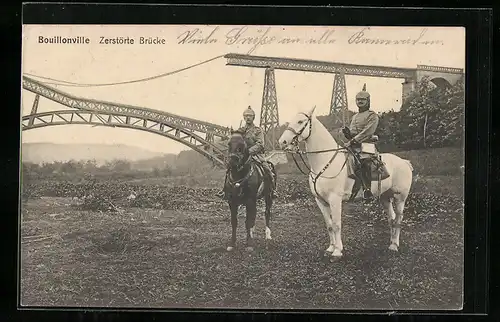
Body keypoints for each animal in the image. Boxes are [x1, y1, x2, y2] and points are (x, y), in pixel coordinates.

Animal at [278, 107, 414, 258]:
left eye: (300, 121)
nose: (282, 142)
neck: (325, 162)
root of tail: (405, 162)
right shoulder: (320, 201)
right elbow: (329, 225)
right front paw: (331, 247)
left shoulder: (335, 200)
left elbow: (337, 224)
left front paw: (337, 251)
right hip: (385, 197)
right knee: (392, 219)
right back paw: (391, 243)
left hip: (400, 198)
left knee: (398, 220)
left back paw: (395, 245)